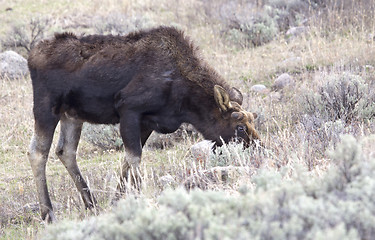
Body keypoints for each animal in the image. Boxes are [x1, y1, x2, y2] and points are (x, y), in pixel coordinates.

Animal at [27, 25, 262, 221]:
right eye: (240, 127)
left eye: (253, 120)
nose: (260, 150)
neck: (185, 101)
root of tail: (32, 55)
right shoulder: (129, 109)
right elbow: (135, 159)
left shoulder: (148, 122)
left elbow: (127, 161)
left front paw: (116, 202)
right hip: (47, 108)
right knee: (38, 152)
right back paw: (48, 213)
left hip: (72, 115)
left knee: (65, 150)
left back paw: (91, 204)